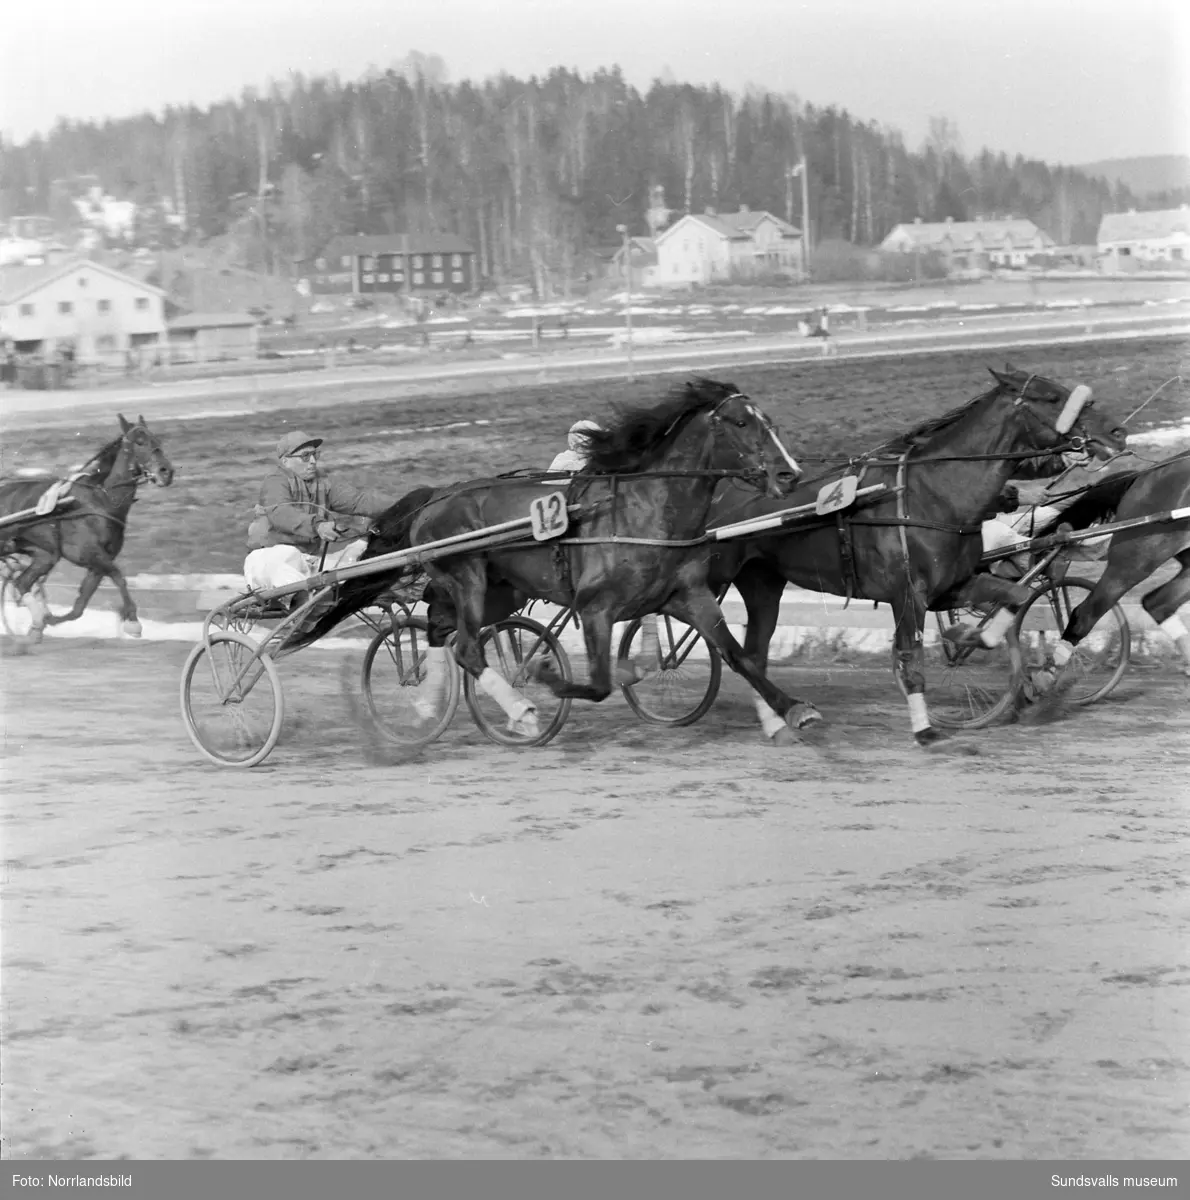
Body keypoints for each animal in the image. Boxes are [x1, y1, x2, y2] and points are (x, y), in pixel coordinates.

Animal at [0, 415, 173, 643]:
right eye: (139, 442)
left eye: (157, 440)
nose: (166, 472)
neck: (101, 501)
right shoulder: (90, 554)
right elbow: (119, 576)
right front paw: (133, 623)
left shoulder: (97, 565)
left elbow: (79, 607)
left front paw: (47, 619)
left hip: (44, 555)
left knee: (21, 583)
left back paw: (36, 623)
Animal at [287, 374, 815, 734]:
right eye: (742, 423)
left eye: (771, 422)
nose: (788, 474)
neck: (643, 510)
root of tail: (438, 495)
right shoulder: (597, 608)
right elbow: (599, 684)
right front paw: (542, 672)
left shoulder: (688, 597)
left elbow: (738, 654)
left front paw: (792, 709)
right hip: (468, 577)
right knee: (466, 648)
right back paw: (518, 710)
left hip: (498, 591)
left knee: (441, 630)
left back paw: (430, 707)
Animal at [700, 364, 1127, 744]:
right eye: (1052, 396)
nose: (1117, 432)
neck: (934, 494)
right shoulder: (908, 594)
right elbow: (912, 662)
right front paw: (925, 728)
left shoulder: (952, 586)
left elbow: (1017, 595)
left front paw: (970, 635)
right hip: (715, 575)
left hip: (763, 581)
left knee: (754, 651)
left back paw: (777, 723)